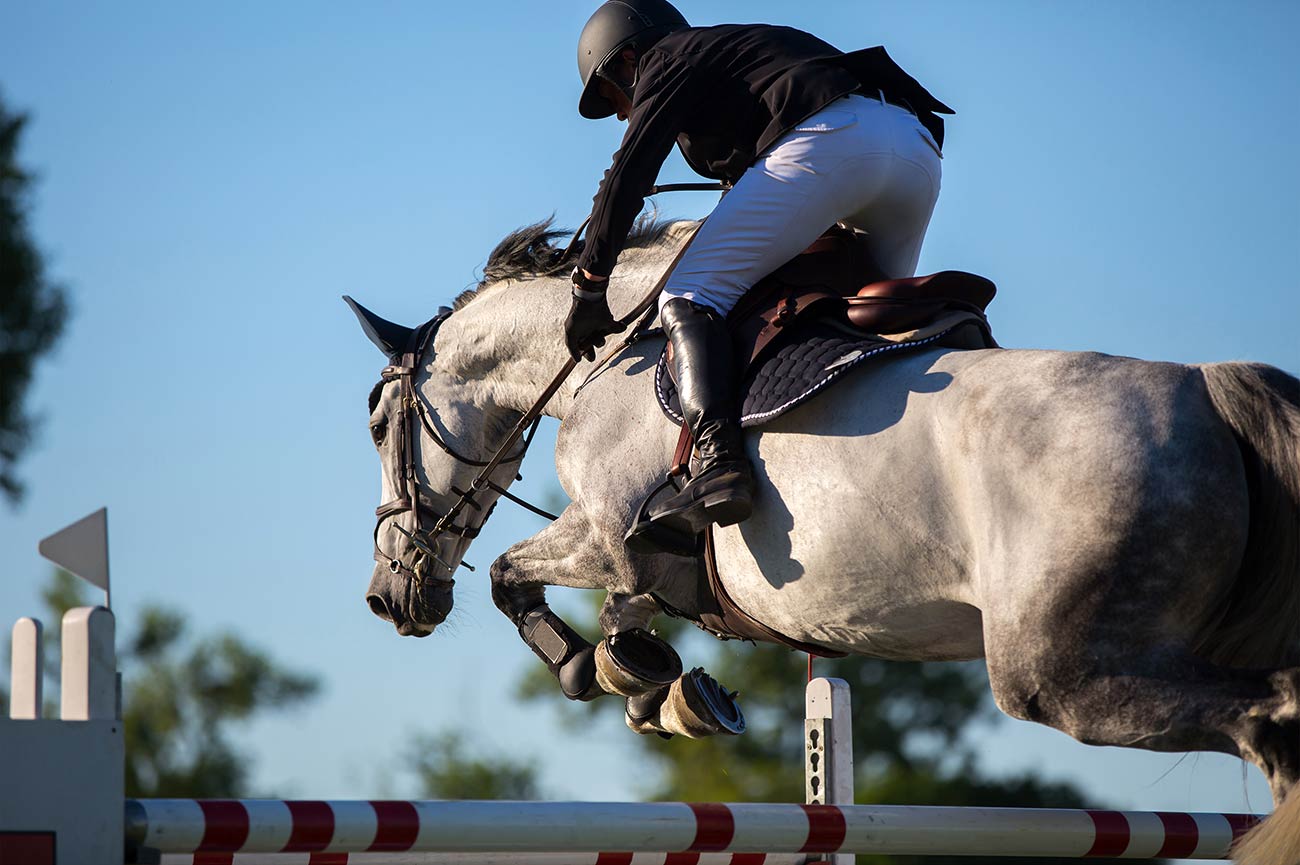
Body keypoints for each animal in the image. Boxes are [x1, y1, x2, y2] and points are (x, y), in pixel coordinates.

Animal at [351, 219, 1294, 858]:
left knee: (1267, 720)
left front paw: (610, 669)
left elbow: (518, 577)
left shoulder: (610, 532)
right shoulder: (644, 561)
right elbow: (619, 607)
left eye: (376, 424)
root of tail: (1211, 391)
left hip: (1061, 672)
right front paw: (663, 684)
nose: (389, 596)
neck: (613, 351)